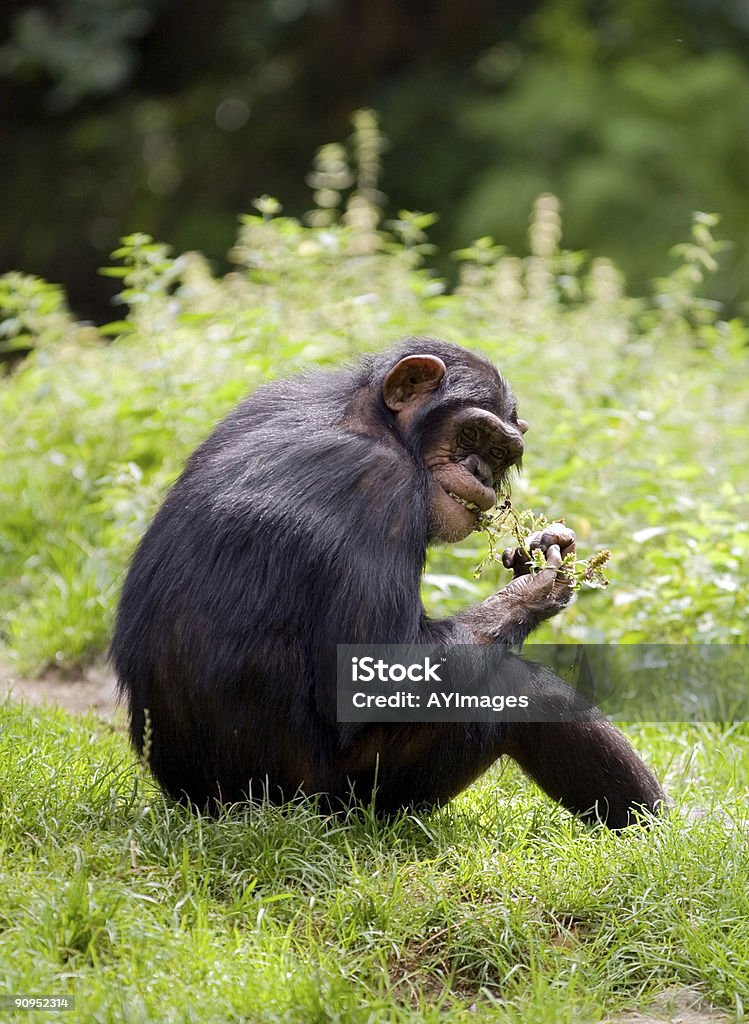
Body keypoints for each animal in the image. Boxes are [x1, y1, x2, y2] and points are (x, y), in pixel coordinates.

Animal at [109, 337, 663, 831]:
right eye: (472, 437)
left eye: (501, 452)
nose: (482, 471)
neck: (381, 426)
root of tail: (200, 805)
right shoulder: (382, 488)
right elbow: (379, 670)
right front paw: (541, 585)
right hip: (335, 801)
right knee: (516, 687)